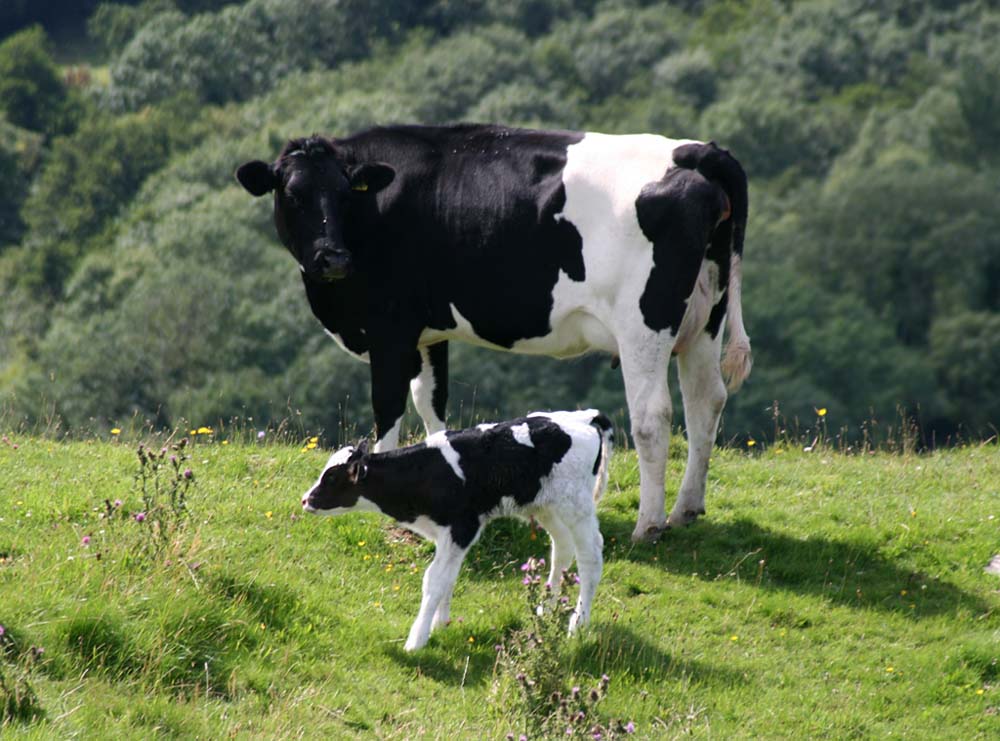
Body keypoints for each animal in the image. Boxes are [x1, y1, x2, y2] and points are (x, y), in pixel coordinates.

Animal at [236, 120, 752, 536]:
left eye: (346, 196)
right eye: (293, 195)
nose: (333, 258)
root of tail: (695, 151)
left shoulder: (390, 330)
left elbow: (388, 408)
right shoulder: (430, 331)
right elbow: (431, 401)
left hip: (644, 323)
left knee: (653, 416)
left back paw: (649, 525)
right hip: (706, 316)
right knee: (705, 400)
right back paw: (686, 510)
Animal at [298, 408, 608, 652]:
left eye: (332, 477)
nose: (305, 499)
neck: (425, 473)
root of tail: (584, 417)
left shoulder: (463, 527)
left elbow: (434, 580)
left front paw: (417, 640)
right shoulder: (446, 533)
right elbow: (448, 577)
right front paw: (440, 623)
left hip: (576, 505)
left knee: (591, 555)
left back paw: (578, 624)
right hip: (547, 506)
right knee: (562, 546)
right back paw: (547, 605)